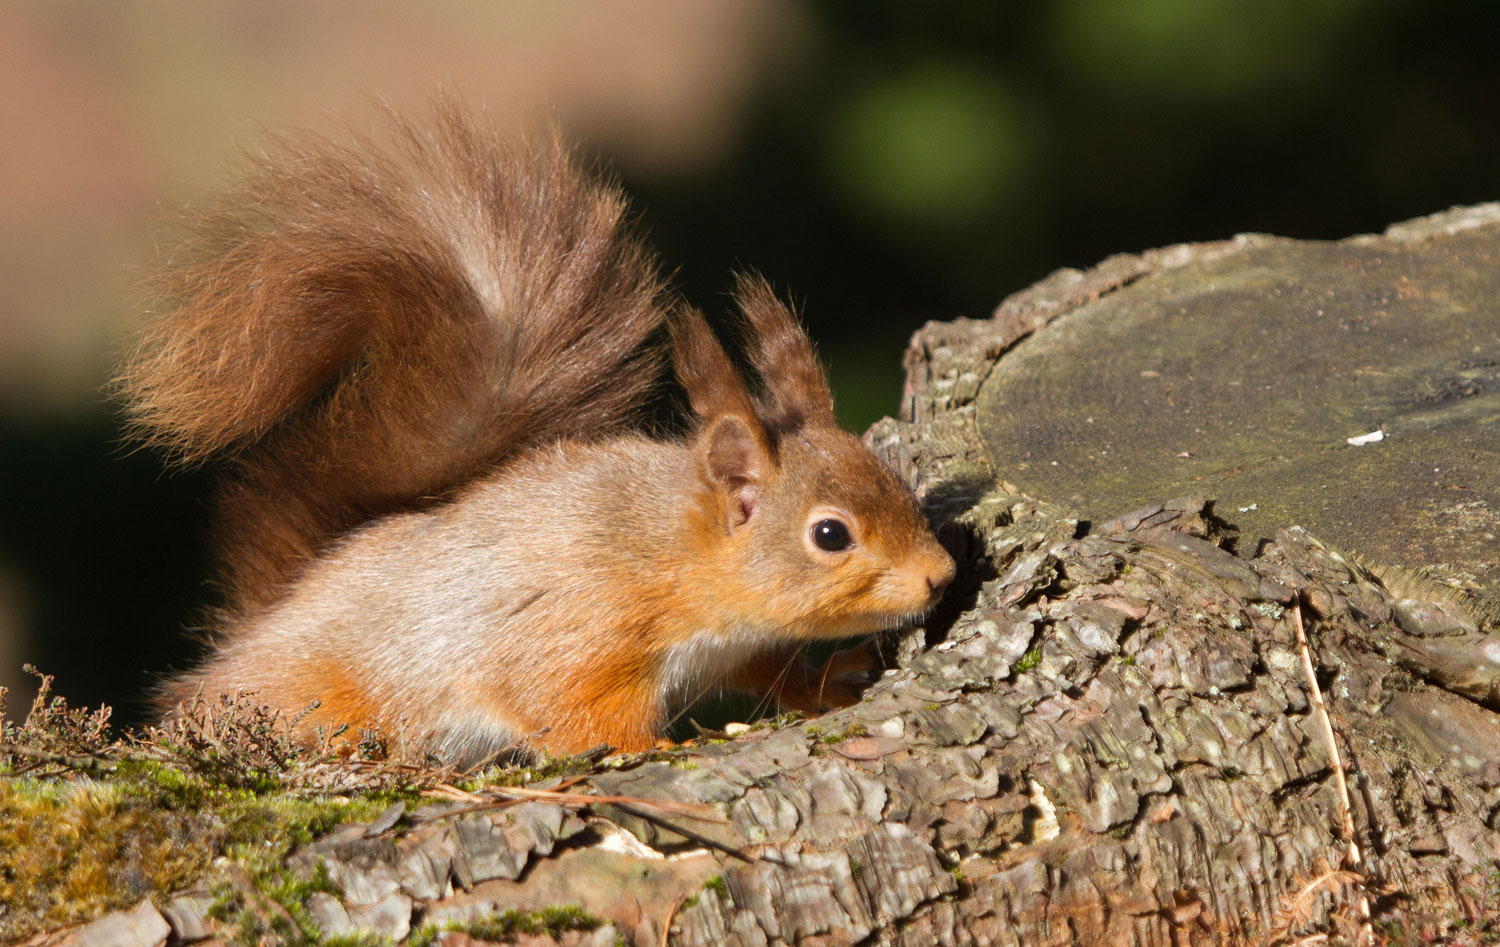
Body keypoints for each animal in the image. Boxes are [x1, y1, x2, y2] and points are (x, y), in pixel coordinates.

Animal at [123, 99, 954, 759]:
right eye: (830, 534)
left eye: (899, 484)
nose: (942, 575)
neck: (671, 549)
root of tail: (254, 632)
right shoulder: (574, 628)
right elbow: (566, 708)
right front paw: (658, 749)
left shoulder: (730, 648)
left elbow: (768, 672)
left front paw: (826, 681)